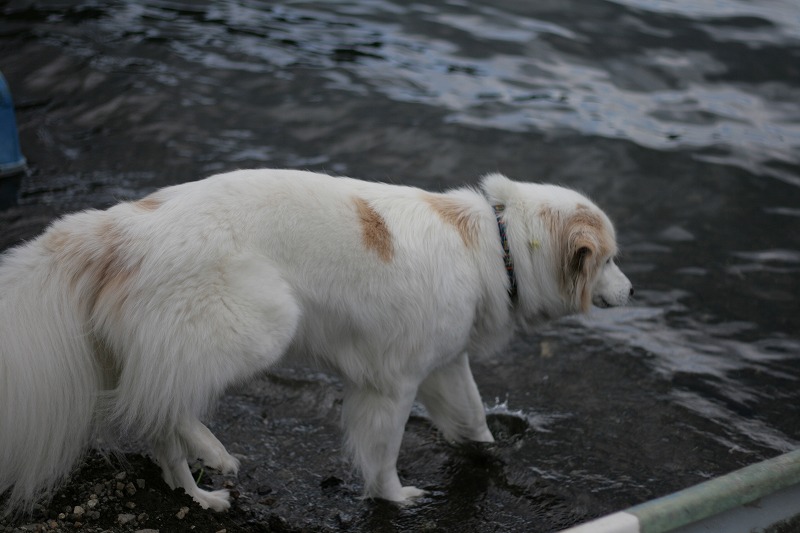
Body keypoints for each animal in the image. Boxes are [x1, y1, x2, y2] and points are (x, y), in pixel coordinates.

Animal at [0, 169, 632, 512]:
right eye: (609, 260)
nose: (632, 290)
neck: (496, 244)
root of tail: (118, 228)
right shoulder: (394, 384)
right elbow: (383, 452)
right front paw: (394, 497)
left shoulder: (445, 366)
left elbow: (473, 417)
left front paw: (488, 453)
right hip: (263, 322)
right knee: (166, 406)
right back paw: (217, 455)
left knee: (157, 422)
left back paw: (199, 495)